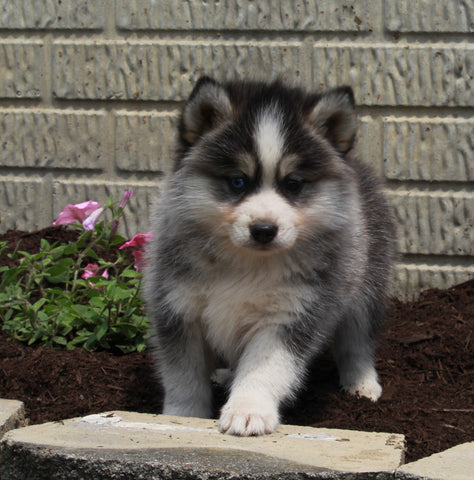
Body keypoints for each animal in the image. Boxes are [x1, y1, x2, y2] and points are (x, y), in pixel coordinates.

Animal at [144, 77, 396, 436]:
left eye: (293, 183)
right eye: (237, 181)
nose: (264, 229)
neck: (246, 264)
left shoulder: (291, 315)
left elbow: (264, 367)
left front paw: (248, 410)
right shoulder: (178, 308)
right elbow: (183, 376)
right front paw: (183, 416)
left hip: (365, 286)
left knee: (356, 342)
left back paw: (362, 385)